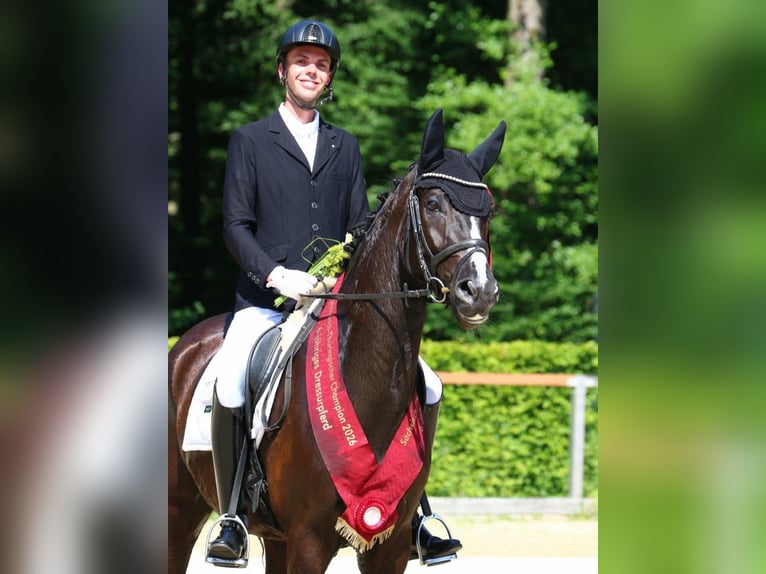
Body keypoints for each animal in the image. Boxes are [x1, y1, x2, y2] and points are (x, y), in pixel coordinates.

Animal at [168, 108, 506, 574]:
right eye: (434, 204)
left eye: (488, 211)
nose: (480, 291)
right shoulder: (308, 541)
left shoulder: (388, 547)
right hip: (179, 513)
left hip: (276, 538)